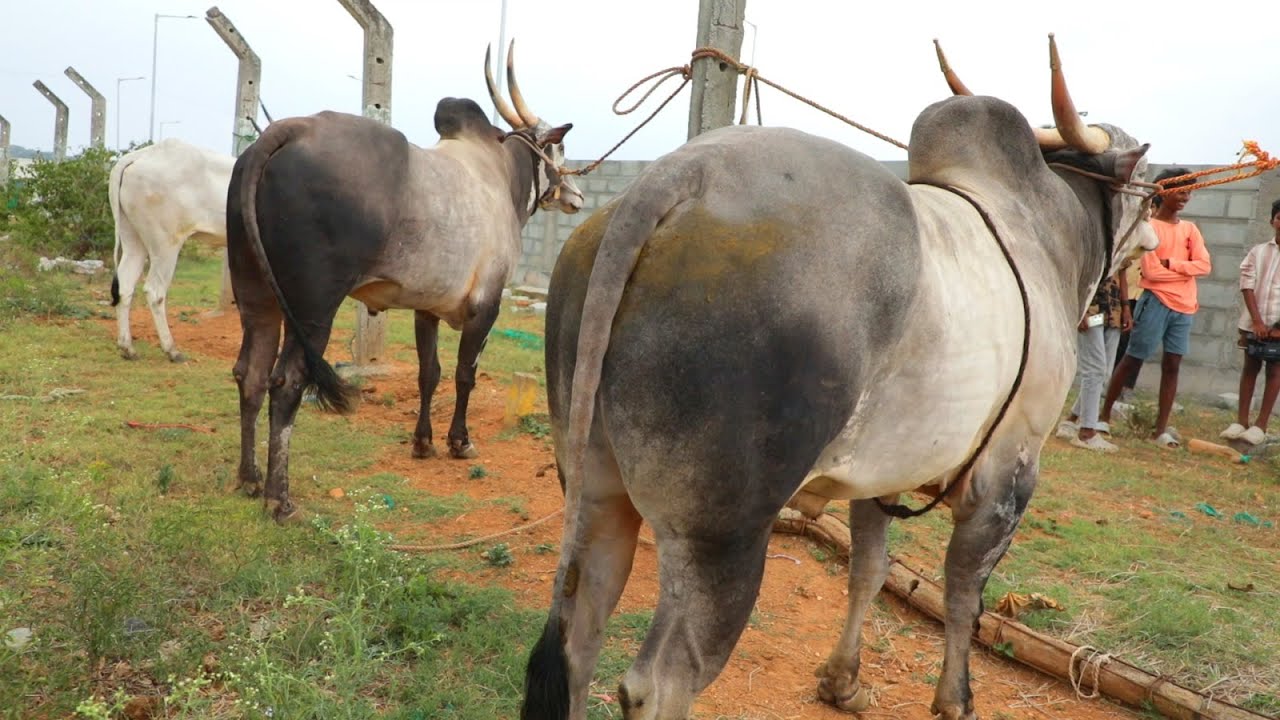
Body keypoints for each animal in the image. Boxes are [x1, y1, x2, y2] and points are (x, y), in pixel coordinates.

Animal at [109, 138, 236, 362]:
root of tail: (139, 155)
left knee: (125, 285)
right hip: (165, 245)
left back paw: (127, 347)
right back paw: (171, 349)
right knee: (155, 291)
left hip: (133, 240)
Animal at [226, 44, 583, 522]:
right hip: (313, 309)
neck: (501, 176)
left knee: (251, 373)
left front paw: (423, 441)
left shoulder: (425, 308)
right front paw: (459, 441)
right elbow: (465, 374)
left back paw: (248, 479)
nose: (576, 196)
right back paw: (279, 499)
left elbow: (428, 374)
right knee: (287, 383)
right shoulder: (486, 305)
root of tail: (286, 130)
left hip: (257, 297)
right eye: (558, 147)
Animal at [521, 36, 1161, 720]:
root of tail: (678, 177)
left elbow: (870, 570)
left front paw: (841, 681)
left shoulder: (883, 474)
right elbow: (964, 594)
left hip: (595, 488)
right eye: (1151, 193)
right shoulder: (1009, 474)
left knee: (576, 642)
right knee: (661, 682)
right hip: (722, 536)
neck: (1047, 232)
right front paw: (955, 699)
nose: (1153, 238)